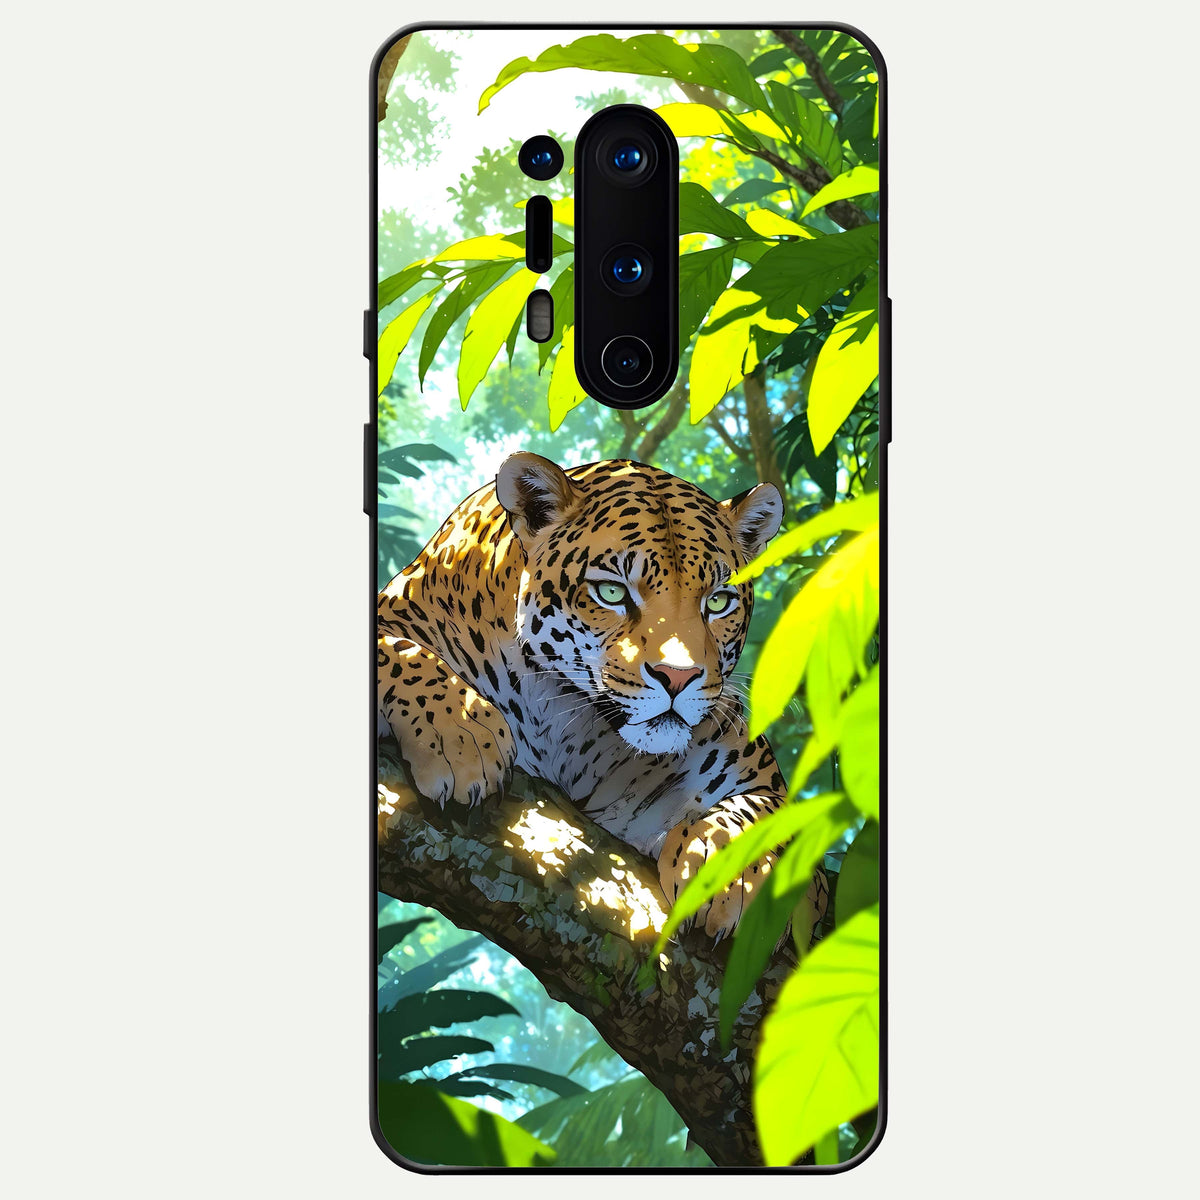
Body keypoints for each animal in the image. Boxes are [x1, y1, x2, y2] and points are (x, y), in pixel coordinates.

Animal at [377, 452, 827, 940]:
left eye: (717, 602)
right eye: (612, 592)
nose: (678, 676)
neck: (563, 722)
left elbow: (771, 811)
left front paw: (731, 872)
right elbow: (396, 650)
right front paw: (461, 736)